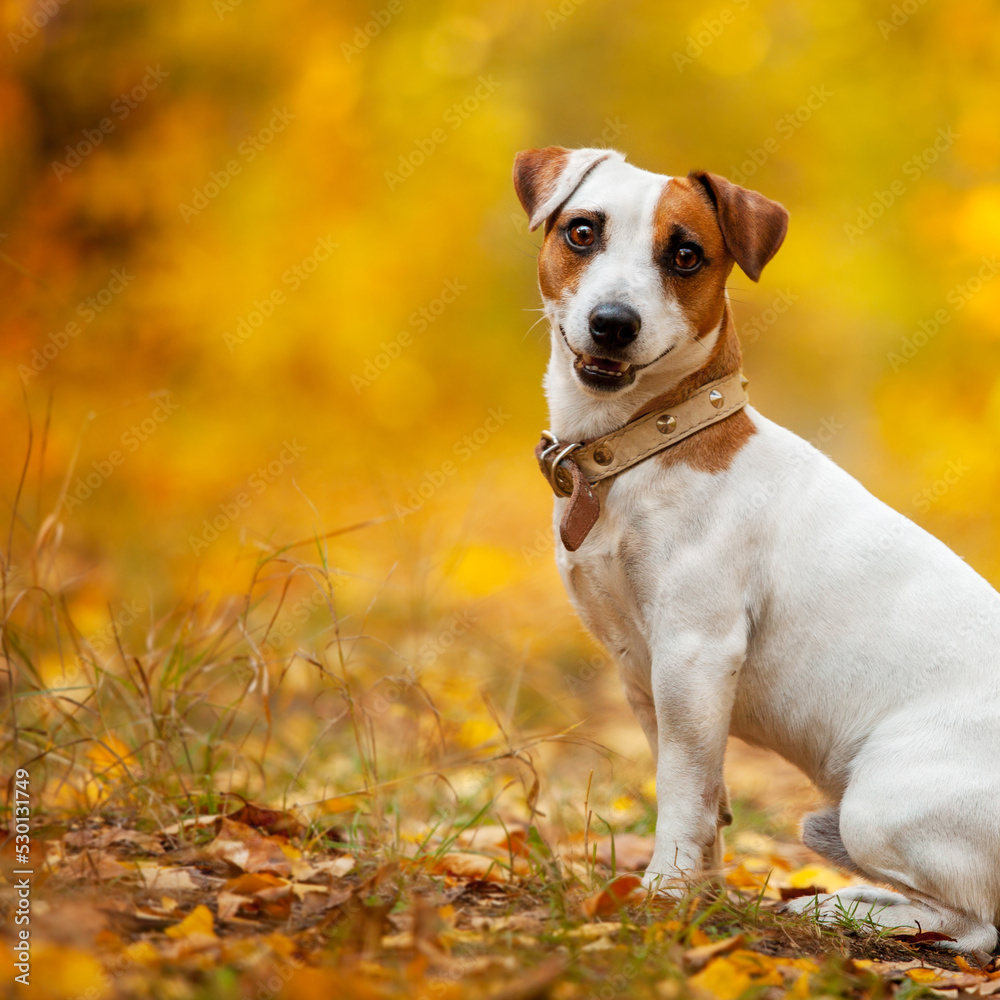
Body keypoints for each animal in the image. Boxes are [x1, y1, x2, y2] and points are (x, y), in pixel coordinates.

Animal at [512, 146, 1000, 952]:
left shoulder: (694, 652)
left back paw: (840, 910)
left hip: (880, 802)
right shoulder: (644, 674)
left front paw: (665, 890)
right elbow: (700, 792)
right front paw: (701, 891)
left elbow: (682, 790)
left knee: (973, 926)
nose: (613, 324)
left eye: (686, 255)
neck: (645, 447)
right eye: (582, 231)